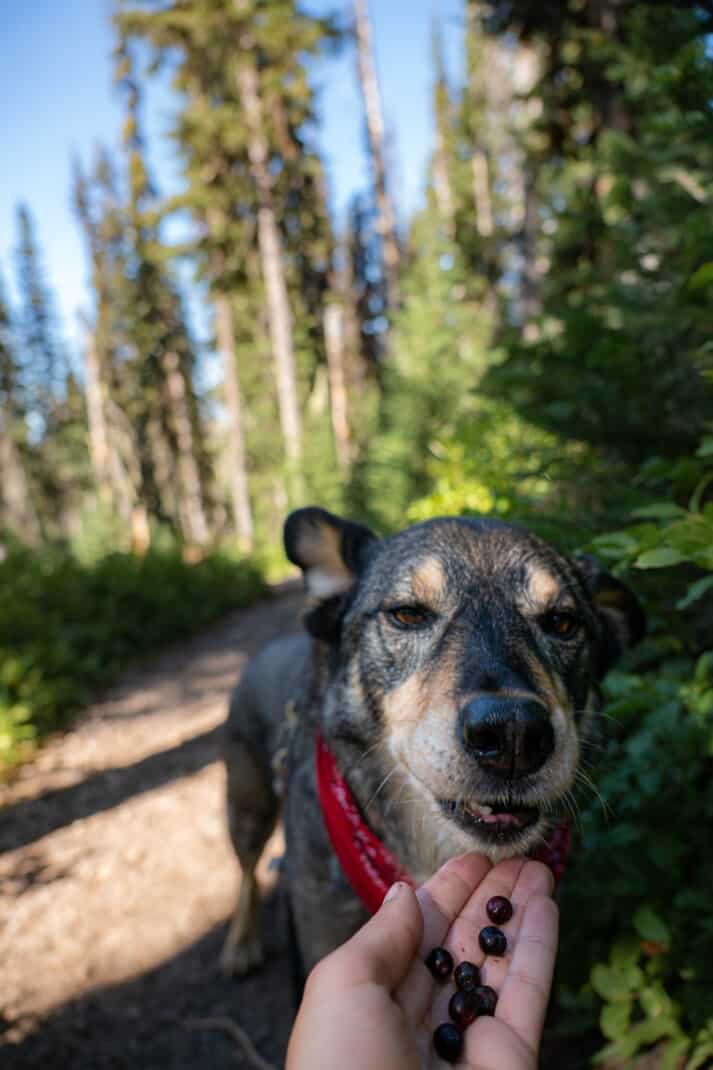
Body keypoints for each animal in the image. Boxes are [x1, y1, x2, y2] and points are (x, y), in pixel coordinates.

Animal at [219, 509, 642, 980]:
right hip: (247, 810)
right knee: (247, 873)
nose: (513, 733)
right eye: (407, 614)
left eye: (562, 622)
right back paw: (240, 945)